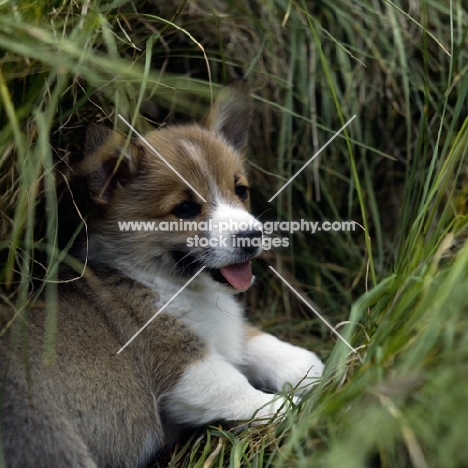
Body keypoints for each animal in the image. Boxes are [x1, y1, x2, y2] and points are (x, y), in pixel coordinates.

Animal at [0, 83, 324, 468]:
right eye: (184, 209)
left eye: (240, 190)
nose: (252, 236)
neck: (170, 283)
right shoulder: (181, 363)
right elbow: (237, 388)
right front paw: (292, 409)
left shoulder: (223, 330)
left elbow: (253, 340)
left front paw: (306, 367)